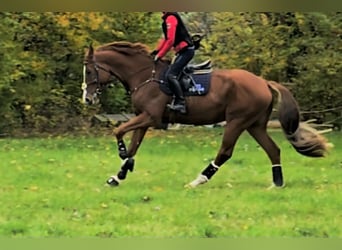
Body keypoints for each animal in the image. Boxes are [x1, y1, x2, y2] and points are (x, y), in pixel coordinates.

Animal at [81, 41, 330, 188]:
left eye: (90, 71)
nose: (87, 99)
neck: (145, 76)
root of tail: (263, 82)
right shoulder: (142, 119)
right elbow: (133, 145)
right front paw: (119, 174)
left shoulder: (149, 117)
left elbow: (118, 131)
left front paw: (123, 156)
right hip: (255, 125)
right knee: (273, 149)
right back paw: (277, 183)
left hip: (237, 121)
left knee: (226, 151)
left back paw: (199, 179)